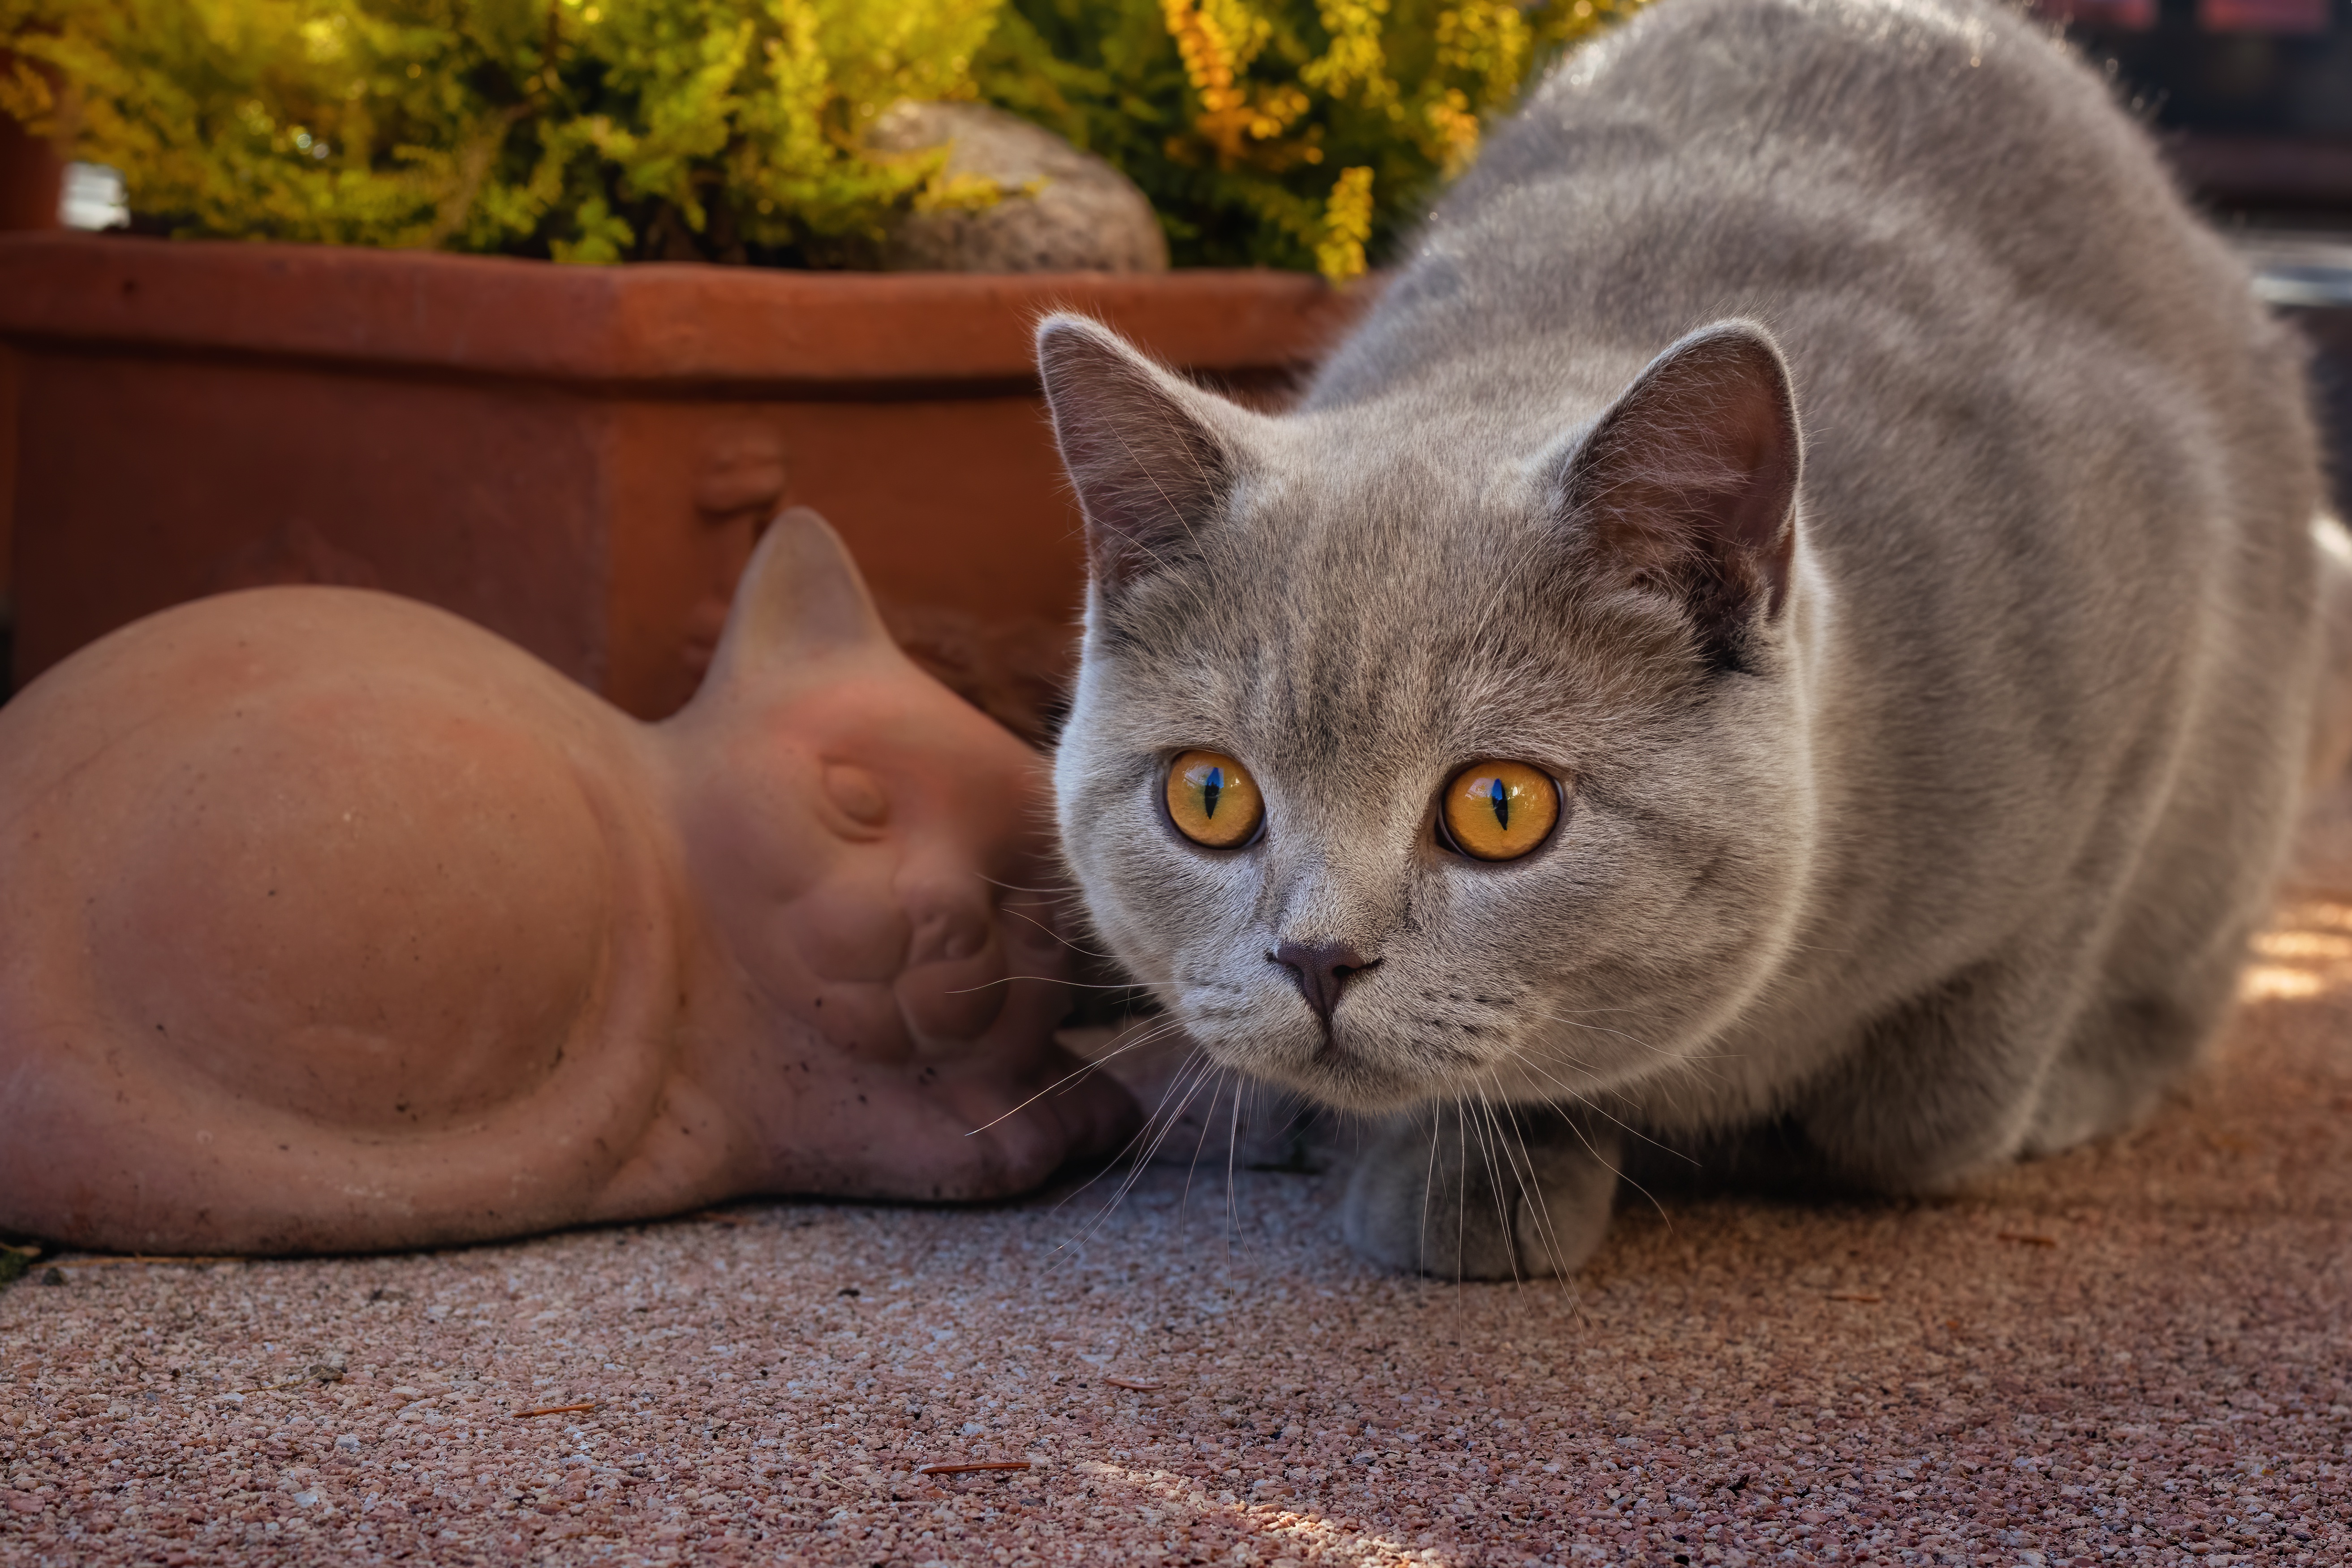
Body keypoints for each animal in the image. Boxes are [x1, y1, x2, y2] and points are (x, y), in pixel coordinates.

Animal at [1030, 0, 2333, 1279]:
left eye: (1499, 807)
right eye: (1208, 795)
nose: (1316, 958)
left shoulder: (2150, 631)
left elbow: (1932, 1104)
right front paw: (1464, 1182)